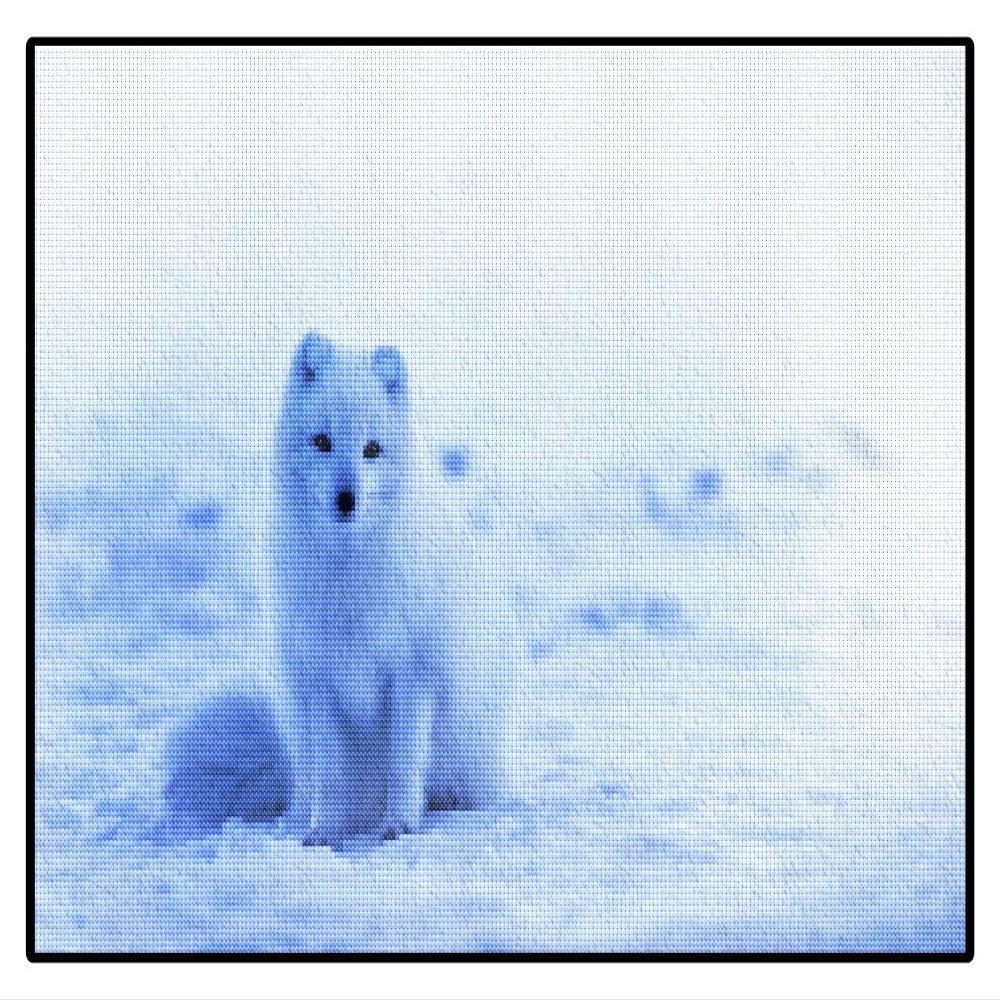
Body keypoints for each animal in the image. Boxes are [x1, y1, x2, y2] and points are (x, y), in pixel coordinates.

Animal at [271, 333, 517, 846]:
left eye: (372, 449)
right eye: (322, 442)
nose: (347, 500)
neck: (349, 575)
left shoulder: (414, 672)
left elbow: (405, 762)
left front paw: (399, 824)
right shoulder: (321, 677)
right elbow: (331, 775)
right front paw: (323, 833)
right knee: (308, 780)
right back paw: (298, 819)